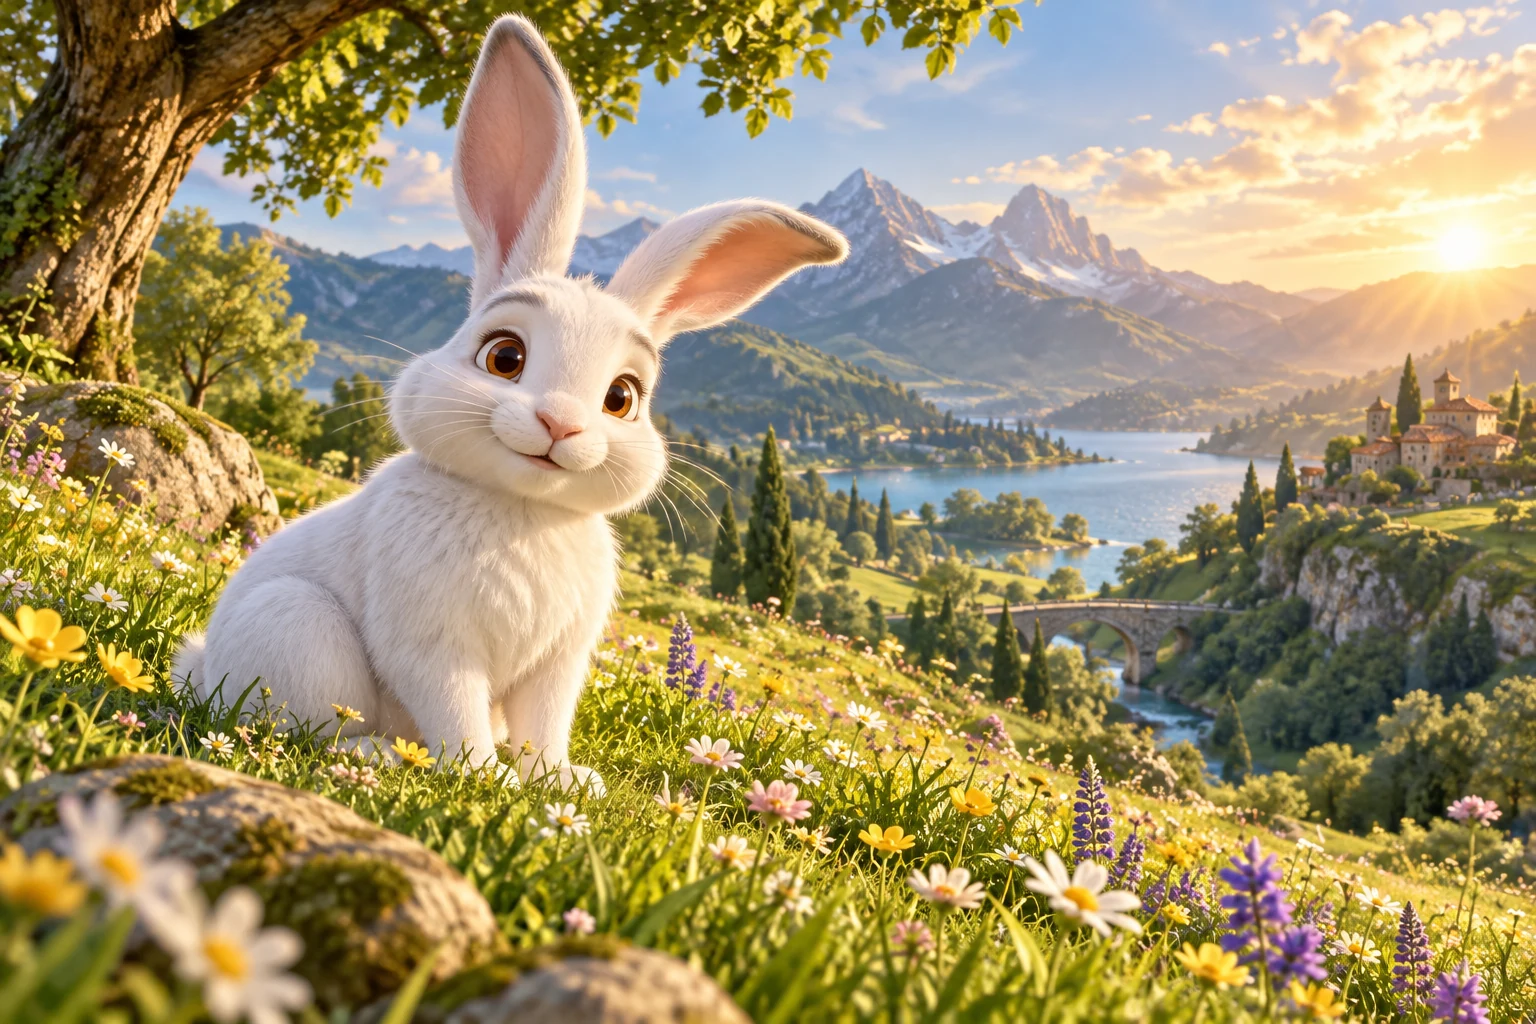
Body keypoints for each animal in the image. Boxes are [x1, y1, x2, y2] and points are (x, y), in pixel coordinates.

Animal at [172, 14, 848, 794]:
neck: (522, 509)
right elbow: (454, 708)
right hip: (297, 629)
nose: (561, 424)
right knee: (298, 728)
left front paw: (559, 782)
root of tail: (202, 667)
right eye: (503, 357)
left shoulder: (558, 666)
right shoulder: (432, 646)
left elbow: (544, 724)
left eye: (623, 398)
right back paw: (373, 754)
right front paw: (484, 777)